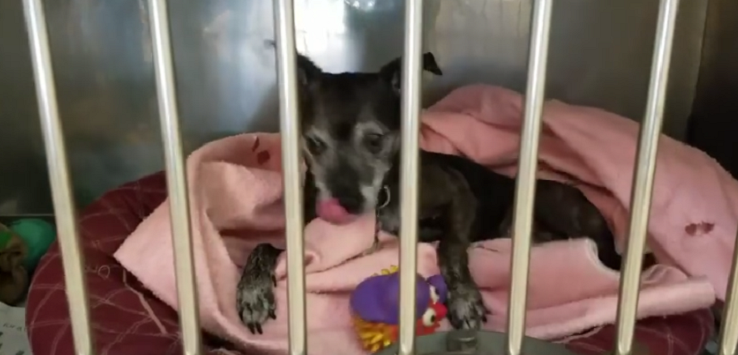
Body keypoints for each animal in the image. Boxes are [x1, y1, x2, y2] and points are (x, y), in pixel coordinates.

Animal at [236, 51, 620, 336]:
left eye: (374, 139)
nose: (344, 206)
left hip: (554, 203)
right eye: (313, 144)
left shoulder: (461, 194)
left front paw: (464, 298)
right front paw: (252, 293)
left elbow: (449, 247)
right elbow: (263, 246)